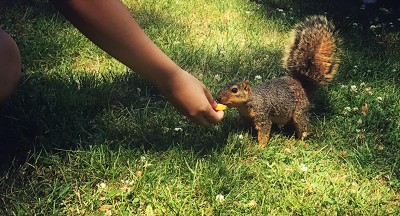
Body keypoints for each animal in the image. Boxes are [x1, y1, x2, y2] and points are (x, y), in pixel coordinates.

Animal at [217, 15, 340, 147]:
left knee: (305, 127)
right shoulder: (247, 118)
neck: (249, 101)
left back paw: (301, 141)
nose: (218, 98)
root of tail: (302, 86)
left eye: (234, 90)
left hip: (299, 112)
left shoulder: (262, 115)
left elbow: (264, 131)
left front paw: (260, 147)